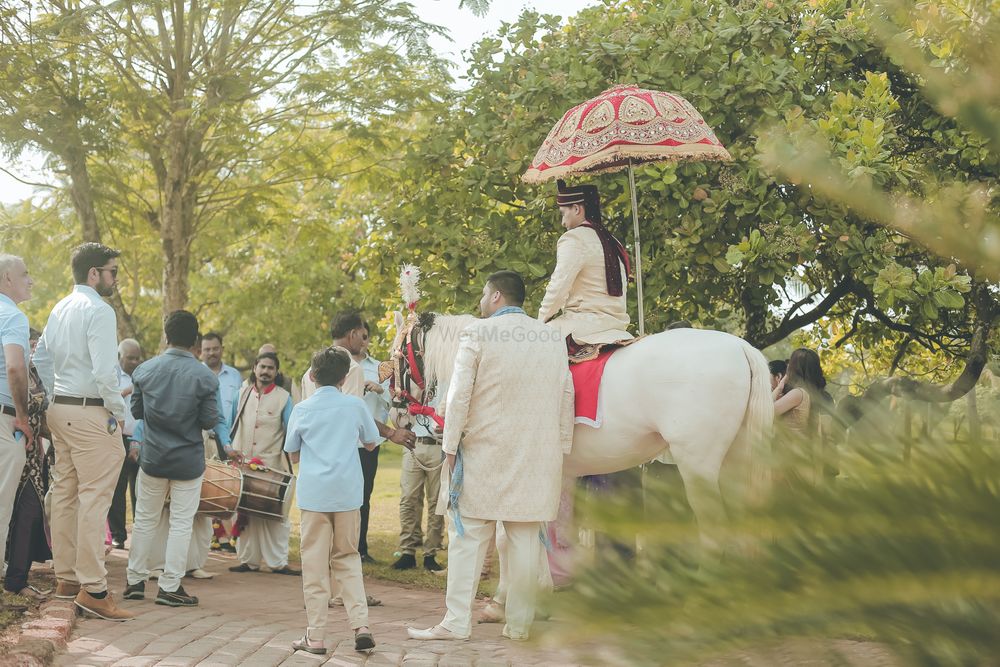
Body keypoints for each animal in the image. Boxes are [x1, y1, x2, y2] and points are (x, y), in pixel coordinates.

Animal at [388, 314, 772, 552]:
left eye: (397, 357)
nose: (397, 414)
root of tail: (741, 347)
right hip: (734, 460)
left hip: (698, 465)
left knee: (713, 528)